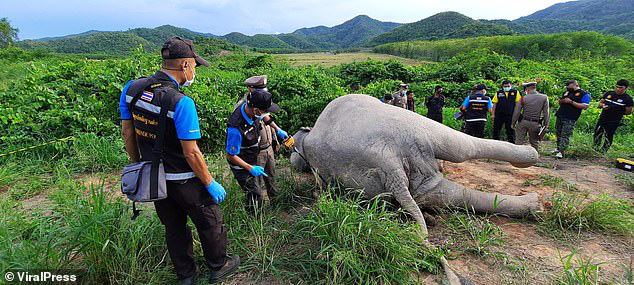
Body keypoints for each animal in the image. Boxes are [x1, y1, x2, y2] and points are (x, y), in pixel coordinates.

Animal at [288, 94, 540, 282]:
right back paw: (535, 200)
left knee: (459, 149)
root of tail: (388, 159)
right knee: (456, 161)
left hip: (409, 135)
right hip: (406, 150)